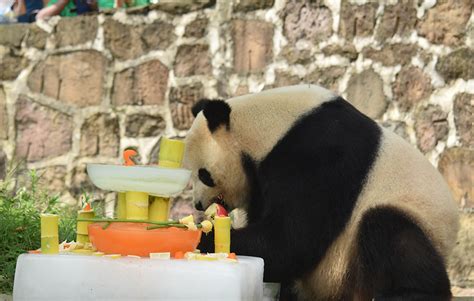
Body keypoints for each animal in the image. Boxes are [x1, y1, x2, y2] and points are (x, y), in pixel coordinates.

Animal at [182, 83, 460, 298]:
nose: (197, 204)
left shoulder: (319, 157)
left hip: (413, 219)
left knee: (391, 232)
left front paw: (198, 237)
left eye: (203, 174)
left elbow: (289, 242)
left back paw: (409, 293)